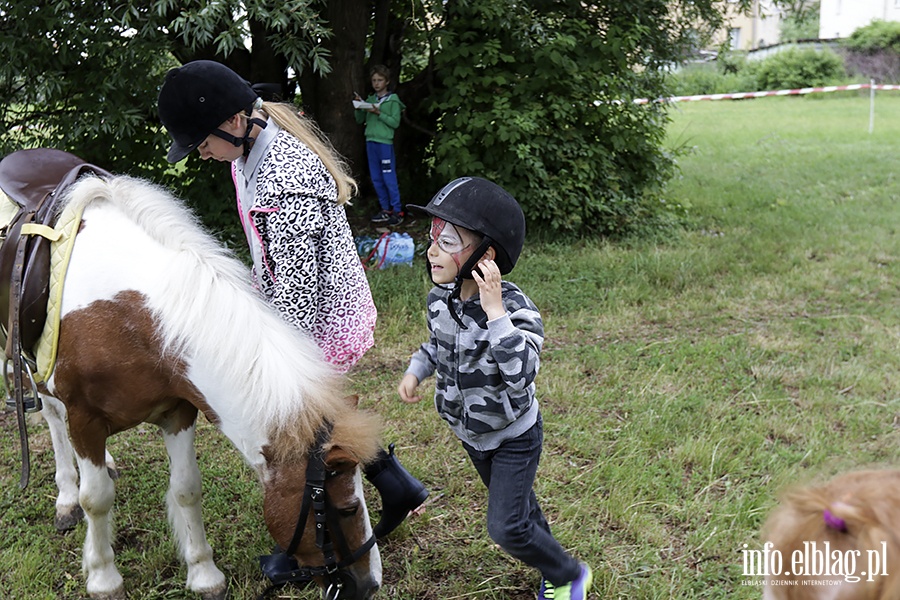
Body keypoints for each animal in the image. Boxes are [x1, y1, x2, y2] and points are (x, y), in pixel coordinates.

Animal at [23, 171, 384, 596]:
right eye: (347, 508)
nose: (371, 584)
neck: (127, 318)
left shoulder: (177, 411)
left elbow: (186, 488)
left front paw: (203, 572)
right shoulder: (85, 420)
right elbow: (95, 498)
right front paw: (103, 578)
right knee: (52, 418)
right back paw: (65, 497)